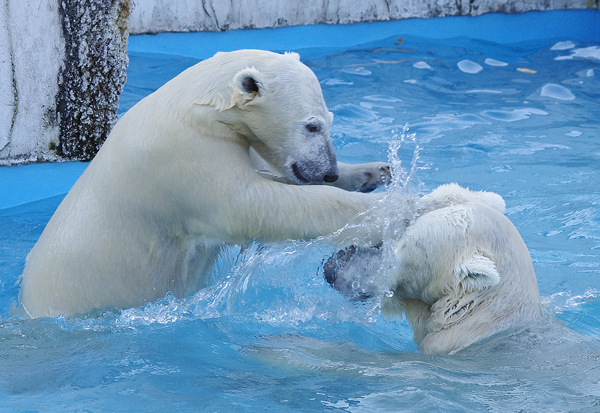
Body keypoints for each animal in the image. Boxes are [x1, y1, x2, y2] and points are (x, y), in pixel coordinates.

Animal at [17, 49, 390, 318]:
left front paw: (374, 172)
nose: (327, 171)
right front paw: (385, 208)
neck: (201, 105)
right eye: (311, 126)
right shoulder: (186, 153)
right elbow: (249, 204)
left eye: (329, 120)